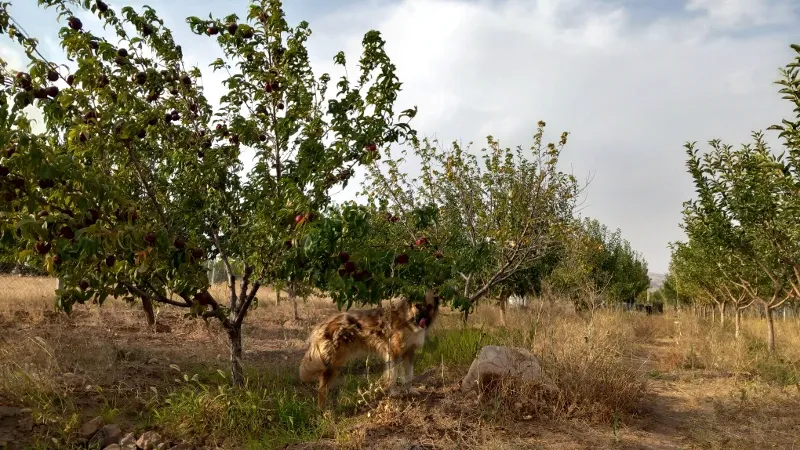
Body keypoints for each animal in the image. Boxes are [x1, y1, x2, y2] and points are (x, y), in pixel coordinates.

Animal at [298, 290, 440, 410]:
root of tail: (323, 324)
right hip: (334, 364)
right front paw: (394, 393)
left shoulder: (409, 352)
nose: (424, 319)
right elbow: (392, 377)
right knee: (321, 389)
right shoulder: (393, 354)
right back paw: (323, 411)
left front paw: (410, 390)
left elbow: (409, 375)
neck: (407, 318)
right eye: (418, 306)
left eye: (429, 306)